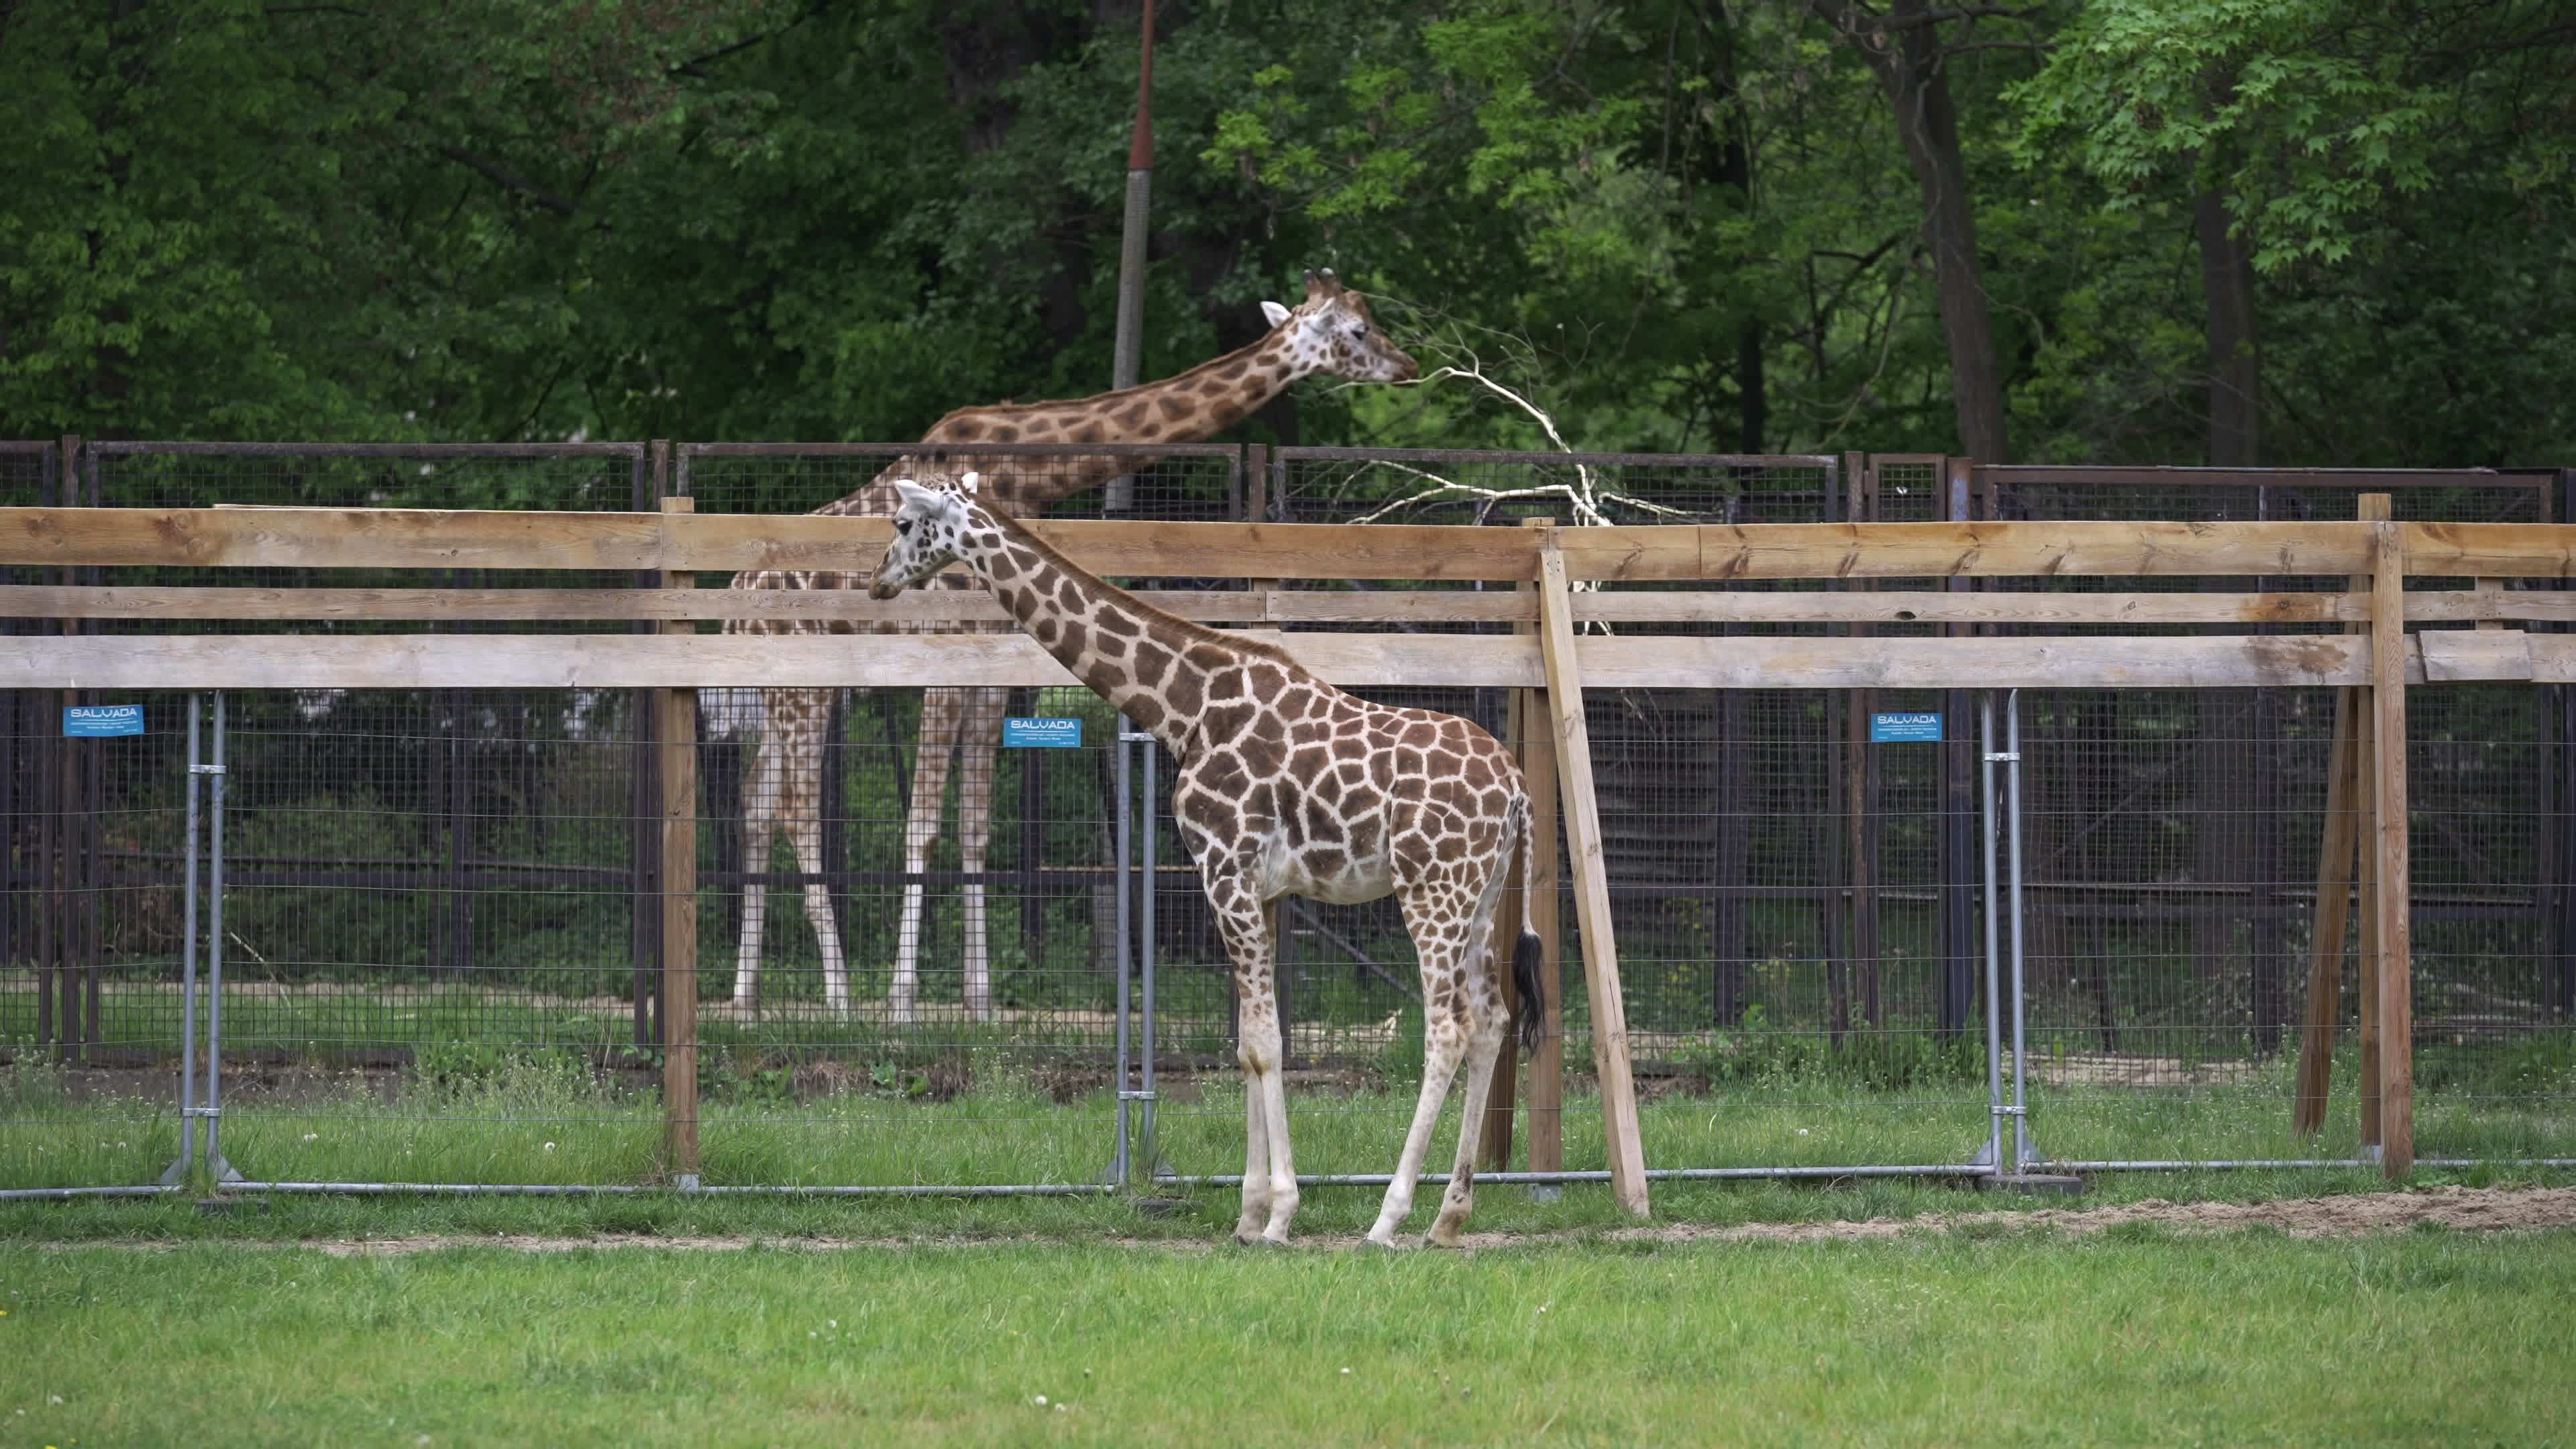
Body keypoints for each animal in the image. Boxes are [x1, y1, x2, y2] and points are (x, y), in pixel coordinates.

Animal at [723, 270, 1418, 1022]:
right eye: (1357, 330)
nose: (1407, 367)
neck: (1032, 472)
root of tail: (736, 595)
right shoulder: (946, 651)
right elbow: (923, 822)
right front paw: (904, 1001)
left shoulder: (991, 659)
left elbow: (976, 823)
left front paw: (980, 999)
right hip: (805, 689)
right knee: (795, 810)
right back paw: (841, 995)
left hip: (786, 693)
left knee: (755, 801)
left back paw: (746, 996)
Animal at [868, 475, 1545, 1249]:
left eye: (903, 522)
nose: (877, 580)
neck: (1183, 707)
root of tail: (1517, 788)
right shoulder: (1264, 888)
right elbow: (1250, 1043)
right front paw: (1249, 1216)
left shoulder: (1224, 871)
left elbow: (1265, 1045)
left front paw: (1279, 1214)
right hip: (1481, 894)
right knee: (1492, 1021)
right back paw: (1450, 1217)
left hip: (1432, 889)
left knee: (1448, 1028)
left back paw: (1389, 1217)